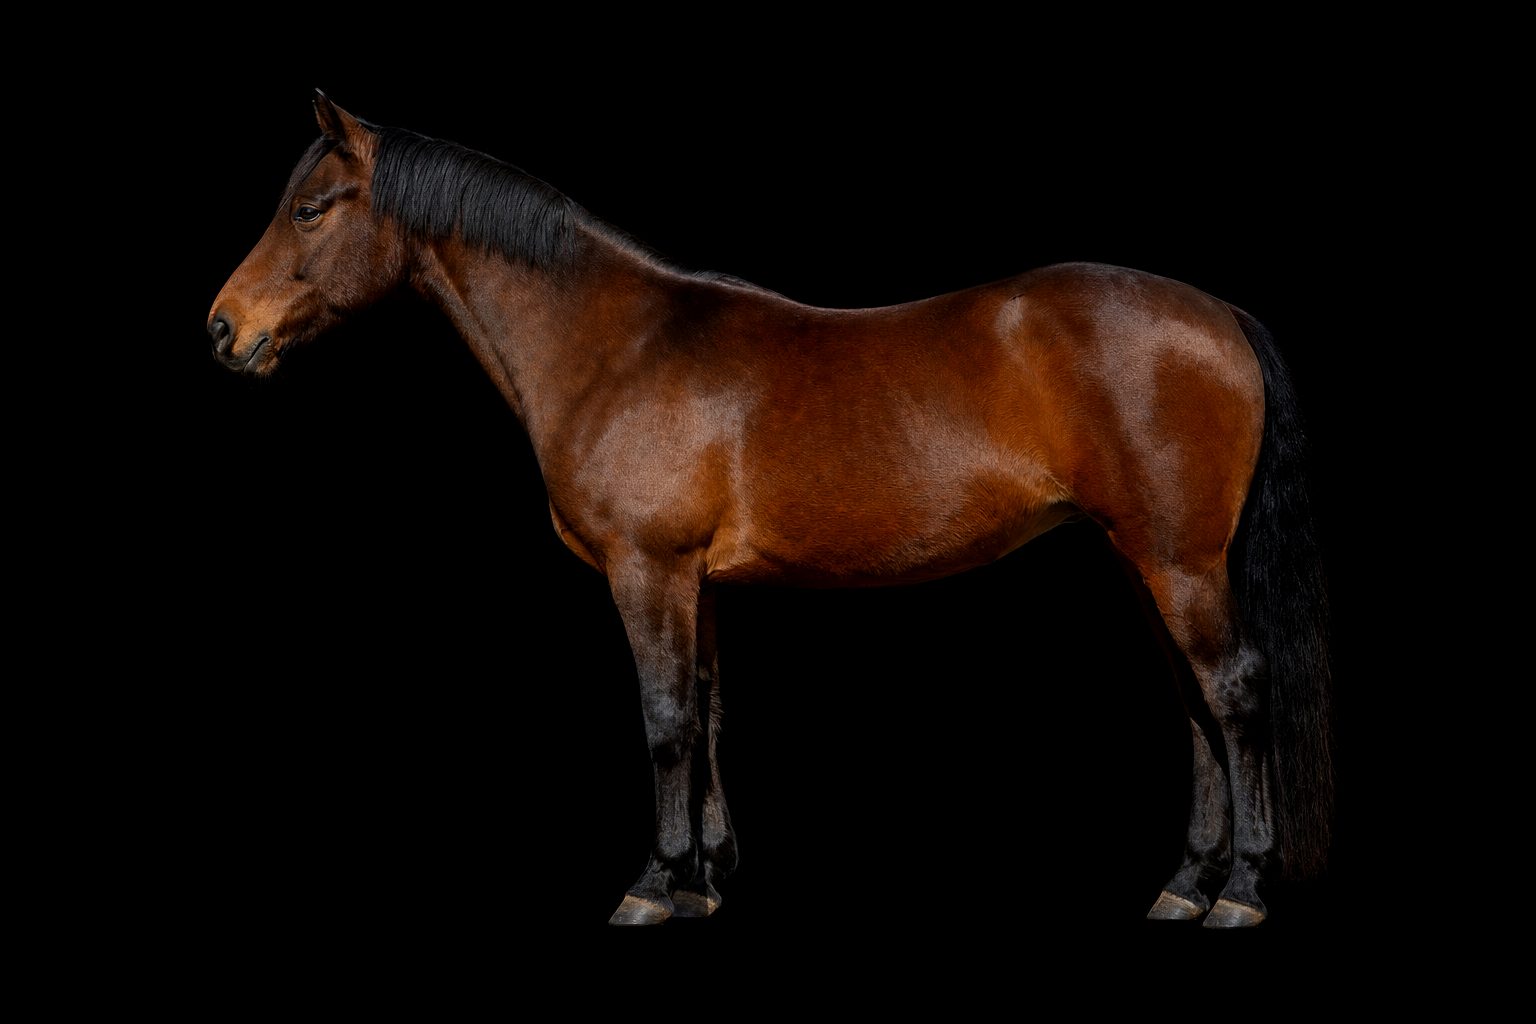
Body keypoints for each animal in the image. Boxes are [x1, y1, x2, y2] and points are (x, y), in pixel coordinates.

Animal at [207, 91, 1333, 928]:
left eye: (311, 207)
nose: (224, 328)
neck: (614, 347)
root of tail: (1217, 314)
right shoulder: (696, 581)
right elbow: (706, 713)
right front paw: (703, 879)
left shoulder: (648, 568)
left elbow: (664, 720)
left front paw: (653, 884)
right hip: (1142, 558)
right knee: (1192, 704)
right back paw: (1185, 884)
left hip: (1179, 560)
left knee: (1233, 691)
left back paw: (1239, 889)